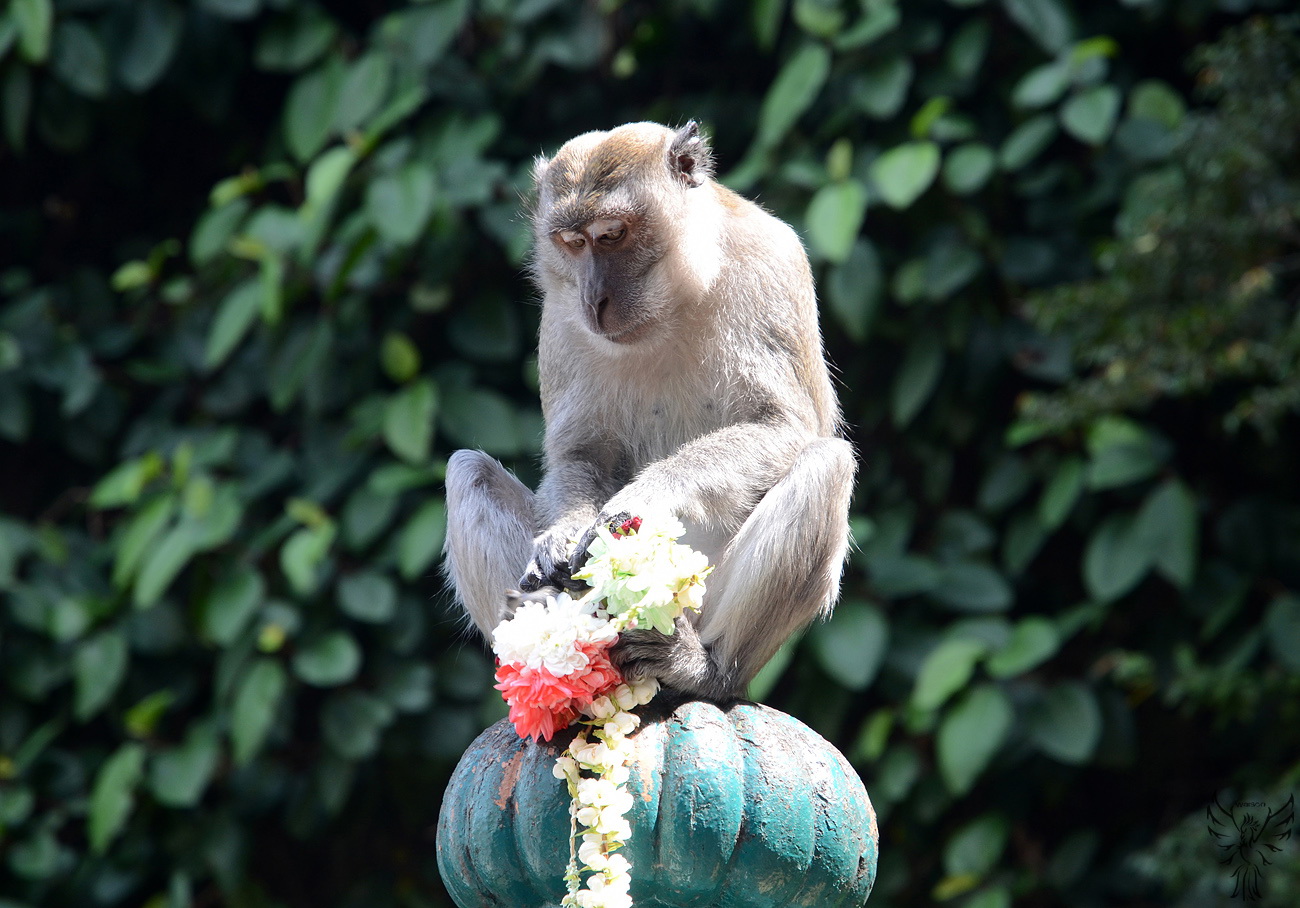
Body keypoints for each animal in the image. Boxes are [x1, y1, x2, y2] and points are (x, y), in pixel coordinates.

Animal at [441, 122, 857, 702]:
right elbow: (580, 453)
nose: (594, 300)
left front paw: (642, 498)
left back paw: (703, 669)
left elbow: (785, 426)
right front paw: (563, 534)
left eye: (612, 235)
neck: (671, 304)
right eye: (573, 243)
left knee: (826, 463)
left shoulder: (770, 263)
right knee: (468, 470)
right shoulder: (561, 316)